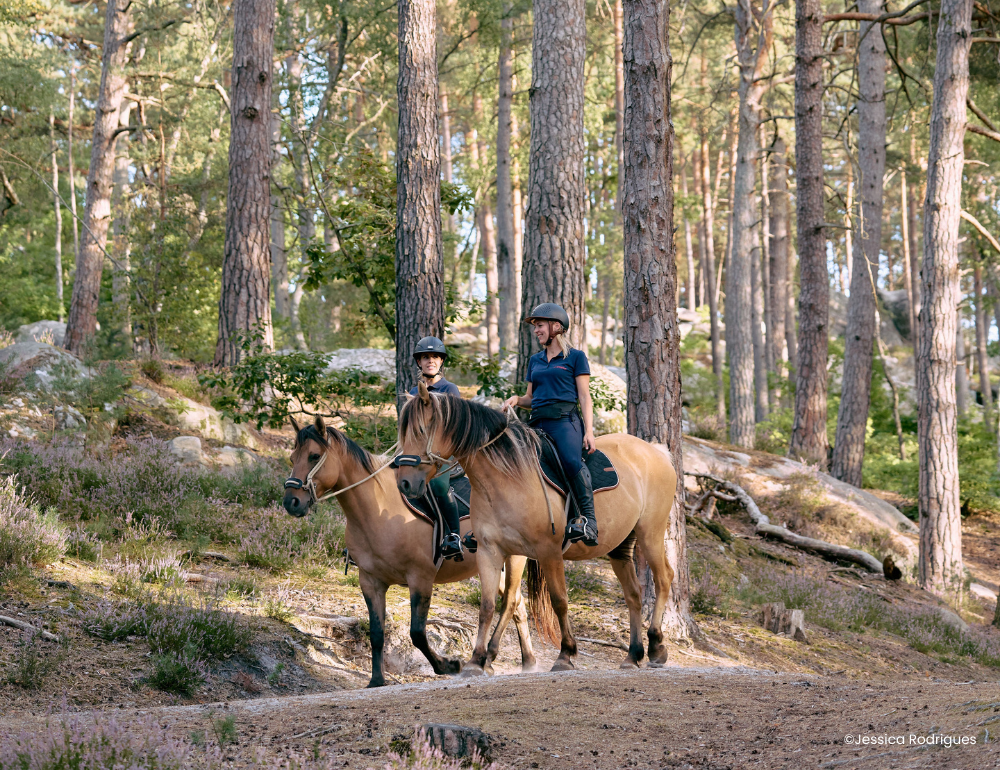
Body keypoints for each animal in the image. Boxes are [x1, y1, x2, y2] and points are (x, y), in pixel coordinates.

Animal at [282, 416, 537, 687]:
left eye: (314, 455)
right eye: (292, 458)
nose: (291, 502)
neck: (378, 511)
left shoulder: (420, 579)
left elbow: (417, 633)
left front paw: (448, 665)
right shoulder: (371, 582)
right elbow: (377, 633)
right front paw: (376, 680)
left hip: (515, 557)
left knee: (509, 603)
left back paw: (489, 658)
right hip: (492, 563)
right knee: (519, 605)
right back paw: (527, 662)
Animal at [396, 383, 677, 674]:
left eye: (420, 430)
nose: (404, 483)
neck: (508, 478)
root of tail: (655, 450)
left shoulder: (548, 551)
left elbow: (559, 600)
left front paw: (565, 654)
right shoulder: (491, 551)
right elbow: (489, 605)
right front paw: (477, 660)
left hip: (651, 533)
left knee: (664, 578)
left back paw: (656, 647)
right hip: (621, 547)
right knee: (633, 594)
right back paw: (633, 655)